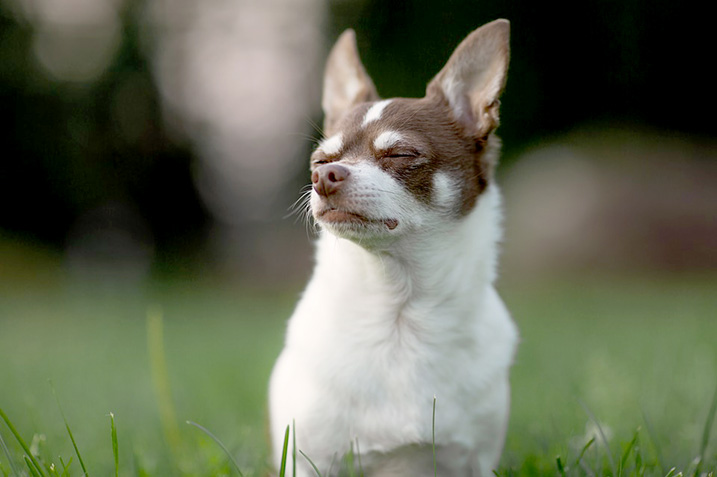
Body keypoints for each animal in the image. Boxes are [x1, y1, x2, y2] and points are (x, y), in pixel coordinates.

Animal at [272, 19, 516, 476]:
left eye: (401, 154)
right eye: (319, 161)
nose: (323, 177)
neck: (398, 313)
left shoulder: (476, 459)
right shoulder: (308, 458)